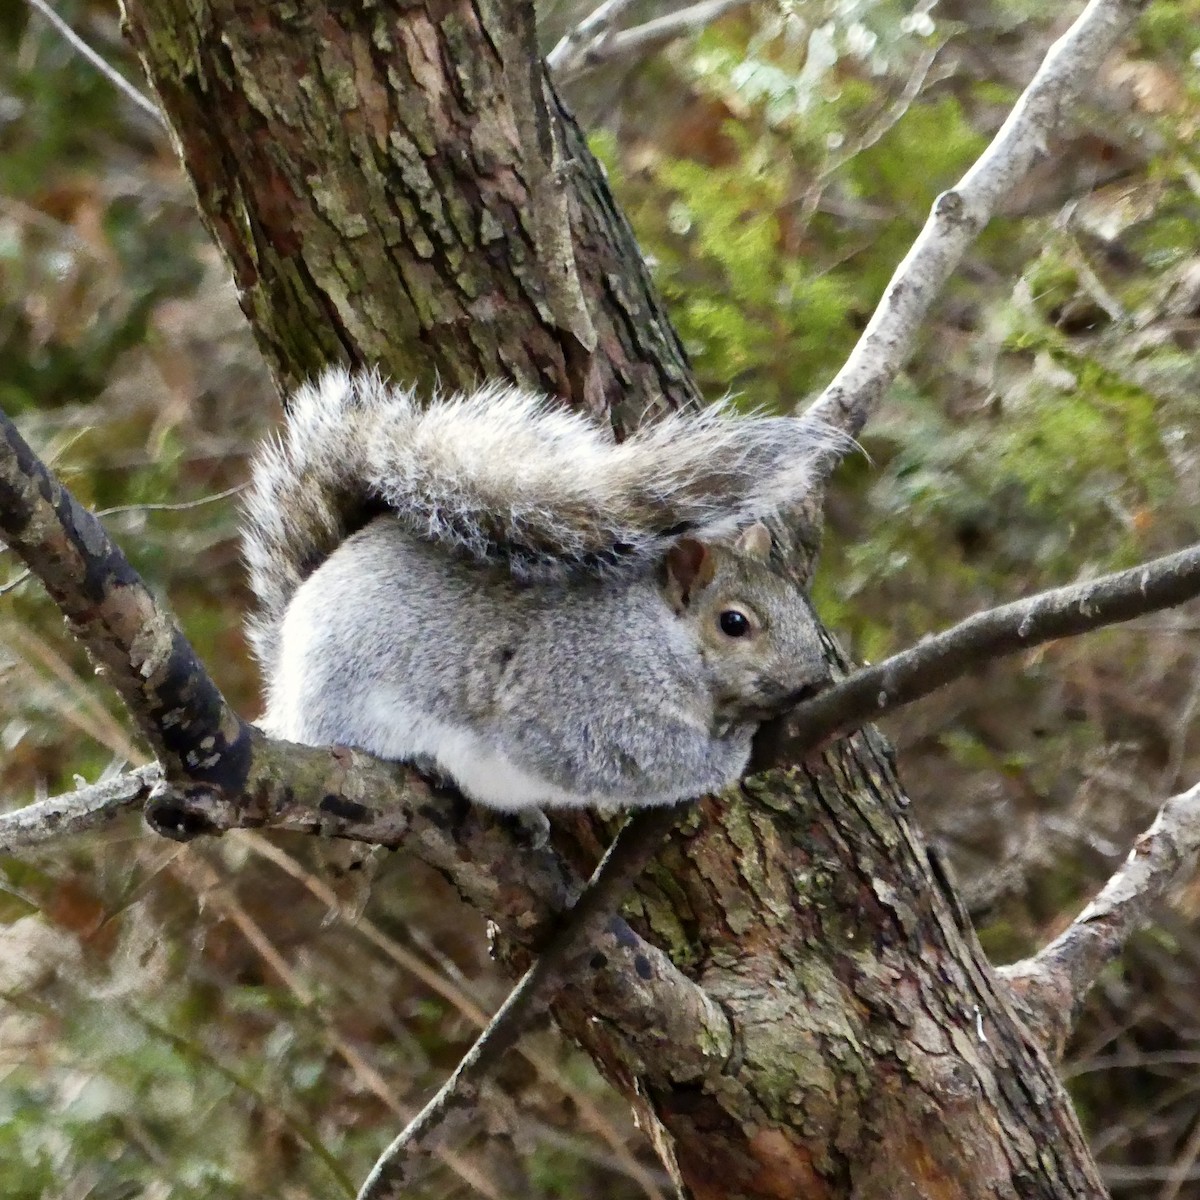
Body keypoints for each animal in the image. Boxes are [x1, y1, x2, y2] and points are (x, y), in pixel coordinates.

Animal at [242, 368, 839, 811]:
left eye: (801, 605)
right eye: (733, 623)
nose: (813, 681)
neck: (654, 632)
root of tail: (283, 686)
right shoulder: (582, 694)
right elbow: (638, 760)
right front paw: (733, 750)